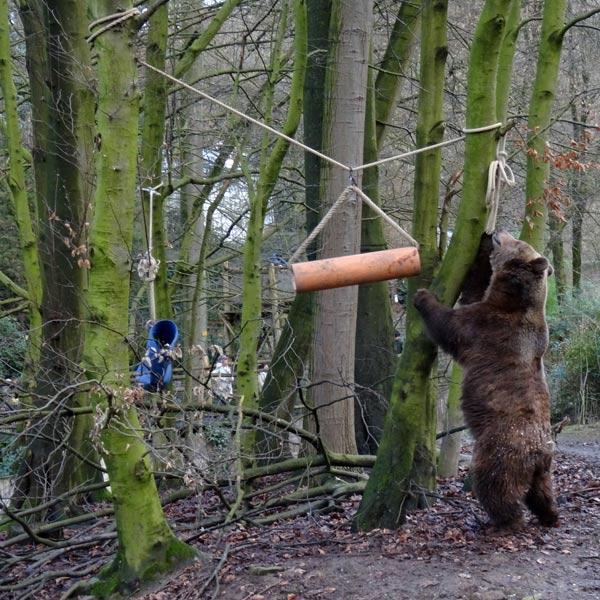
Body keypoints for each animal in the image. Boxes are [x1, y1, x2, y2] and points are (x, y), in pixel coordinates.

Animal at [412, 230, 556, 528]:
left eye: (517, 241)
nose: (499, 232)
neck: (514, 299)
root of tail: (538, 453)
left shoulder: (488, 328)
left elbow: (451, 326)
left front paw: (423, 296)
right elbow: (474, 291)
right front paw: (479, 254)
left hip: (500, 449)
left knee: (495, 483)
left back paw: (504, 520)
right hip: (545, 466)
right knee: (542, 490)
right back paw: (550, 515)